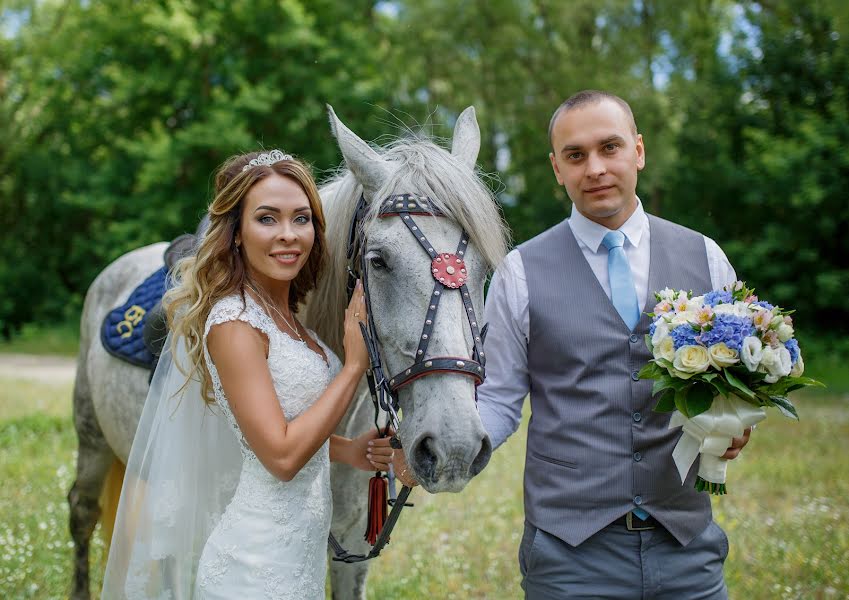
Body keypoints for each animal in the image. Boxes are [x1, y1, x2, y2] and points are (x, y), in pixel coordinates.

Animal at [69, 105, 506, 596]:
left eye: (484, 268)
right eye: (378, 261)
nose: (455, 447)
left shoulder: (351, 546)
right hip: (93, 439)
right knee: (83, 513)